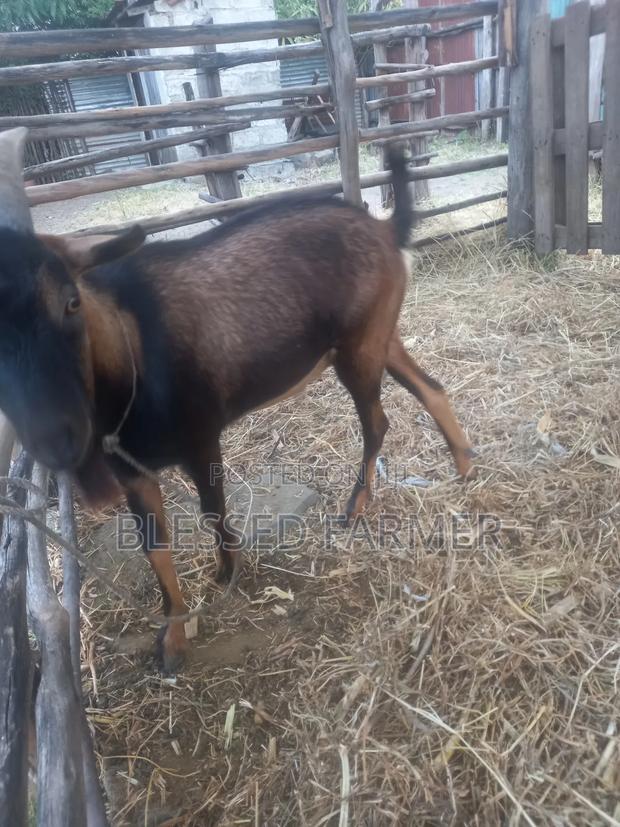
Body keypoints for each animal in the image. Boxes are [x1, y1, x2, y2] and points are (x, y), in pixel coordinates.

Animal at [0, 127, 474, 671]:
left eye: (72, 301)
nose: (57, 439)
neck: (130, 346)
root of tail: (384, 228)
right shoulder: (131, 470)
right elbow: (153, 547)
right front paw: (173, 638)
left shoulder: (201, 438)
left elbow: (212, 510)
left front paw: (228, 573)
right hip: (378, 336)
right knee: (431, 388)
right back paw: (465, 466)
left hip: (359, 349)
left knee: (377, 422)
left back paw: (356, 507)